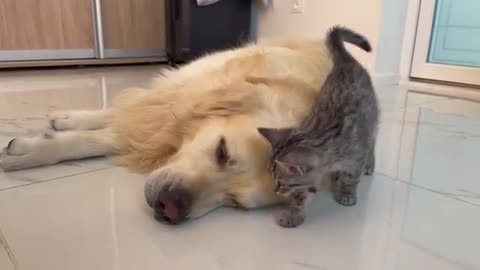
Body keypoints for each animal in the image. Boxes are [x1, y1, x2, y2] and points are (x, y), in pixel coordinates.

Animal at [0, 40, 332, 225]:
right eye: (222, 151)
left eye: (236, 203)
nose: (170, 207)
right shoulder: (180, 99)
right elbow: (118, 126)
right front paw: (34, 150)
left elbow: (115, 134)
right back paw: (68, 117)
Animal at [258, 25, 378, 228]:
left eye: (281, 182)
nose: (275, 191)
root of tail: (345, 62)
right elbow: (301, 196)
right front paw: (294, 214)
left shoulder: (355, 157)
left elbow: (351, 177)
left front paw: (347, 193)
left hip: (373, 121)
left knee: (372, 144)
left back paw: (369, 165)